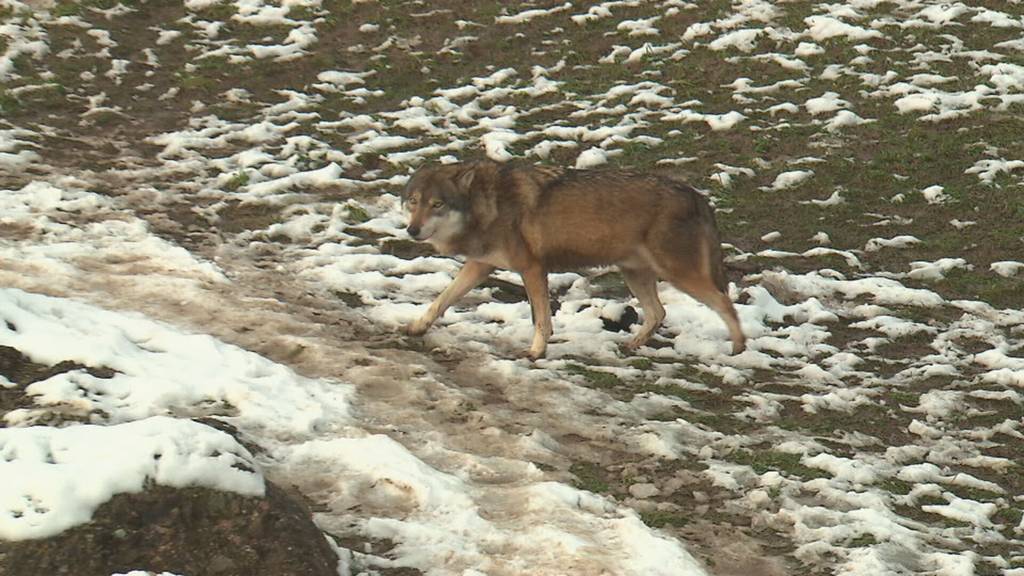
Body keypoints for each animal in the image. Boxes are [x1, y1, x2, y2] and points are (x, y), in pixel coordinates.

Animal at [397, 158, 745, 358]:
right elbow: (441, 299)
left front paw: (536, 352)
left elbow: (541, 319)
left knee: (725, 304)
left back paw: (739, 348)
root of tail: (696, 195)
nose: (412, 230)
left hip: (679, 275)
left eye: (437, 204)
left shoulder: (532, 269)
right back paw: (632, 346)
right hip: (634, 274)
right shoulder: (481, 266)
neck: (487, 204)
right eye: (413, 201)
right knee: (658, 312)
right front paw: (417, 327)